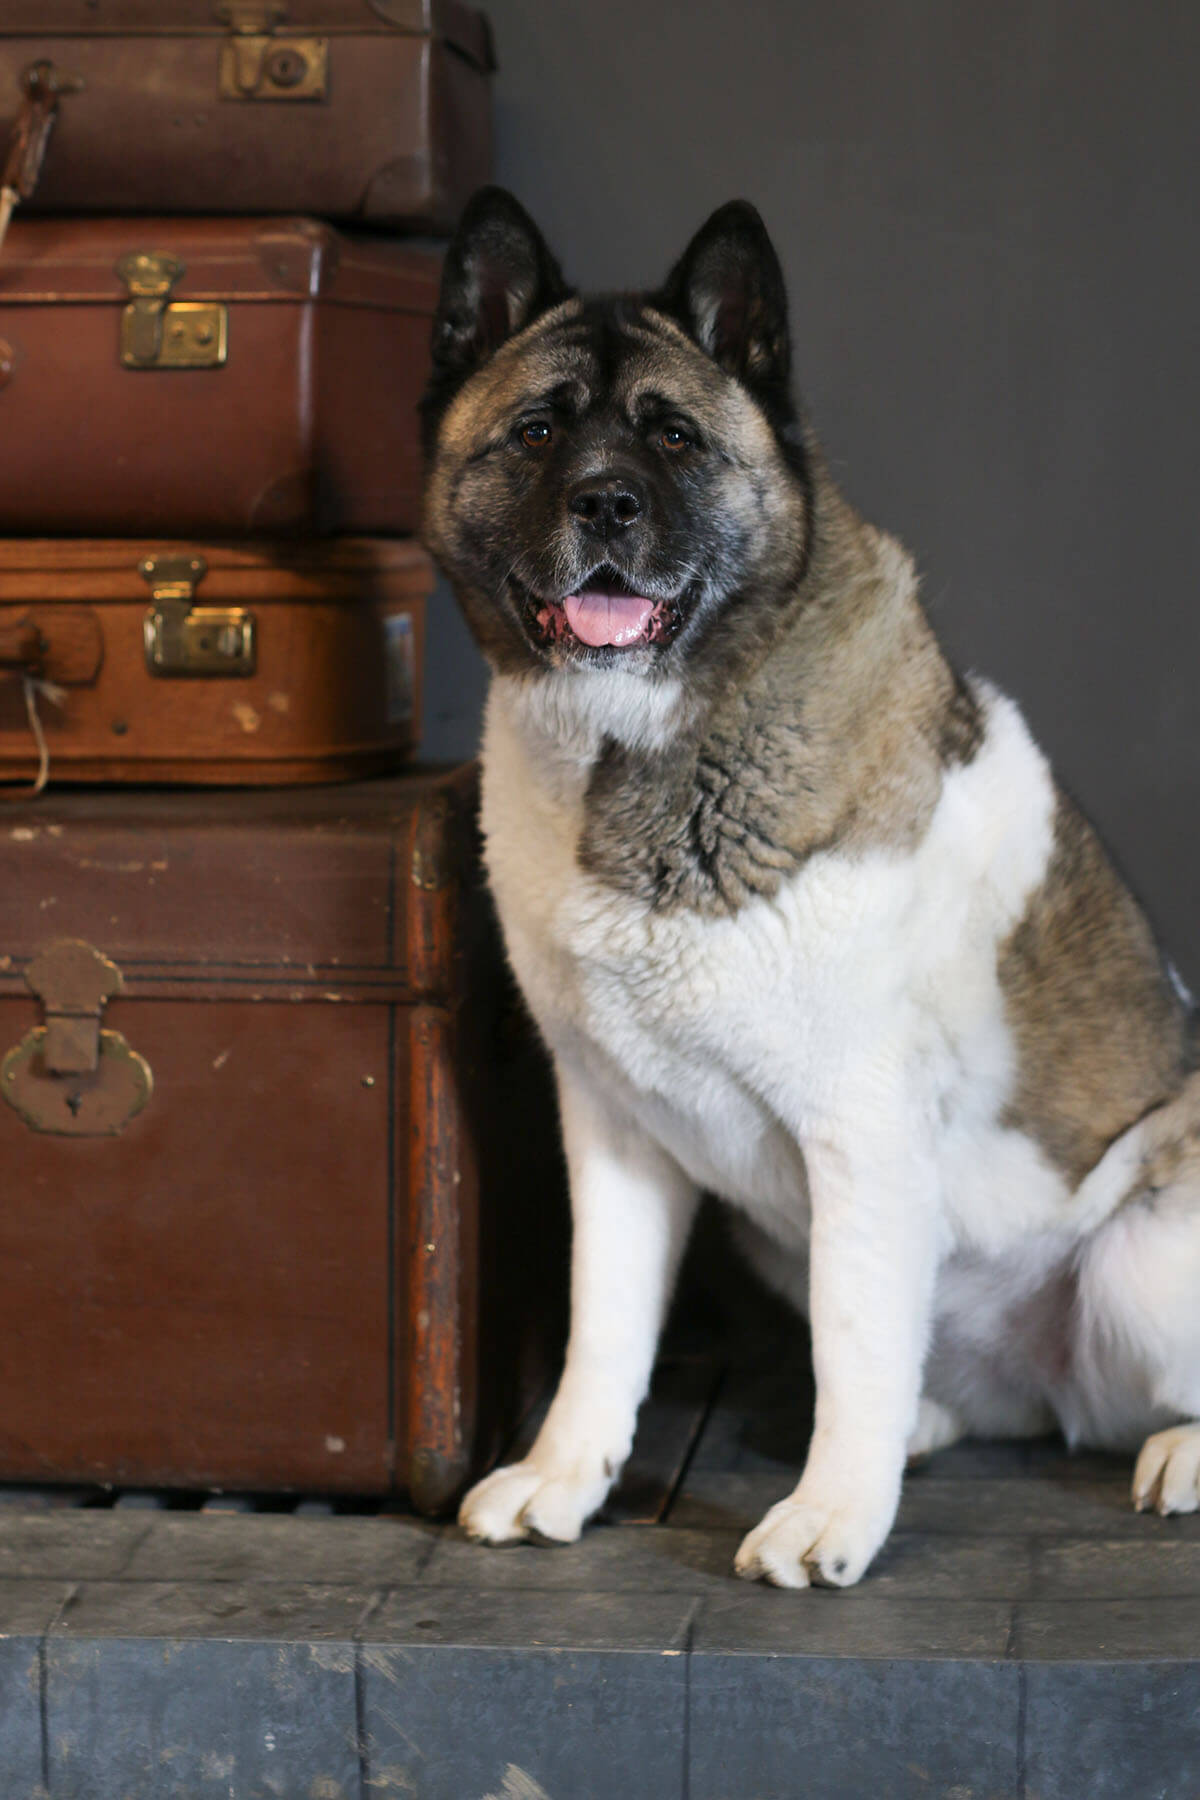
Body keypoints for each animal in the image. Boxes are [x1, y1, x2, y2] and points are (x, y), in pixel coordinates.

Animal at [420, 186, 1200, 1588]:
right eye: (539, 430)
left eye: (674, 437)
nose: (607, 505)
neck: (645, 747)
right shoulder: (611, 1134)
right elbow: (604, 1325)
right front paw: (565, 1478)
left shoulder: (861, 1128)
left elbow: (851, 1338)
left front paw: (831, 1515)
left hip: (1143, 1258)